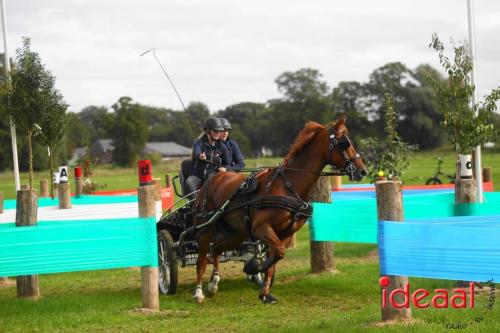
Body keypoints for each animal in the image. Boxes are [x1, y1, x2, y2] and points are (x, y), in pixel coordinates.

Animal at [189, 119, 366, 304]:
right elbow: (278, 253)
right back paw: (198, 292)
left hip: (236, 233)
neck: (288, 186)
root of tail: (212, 178)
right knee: (202, 259)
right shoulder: (261, 228)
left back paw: (214, 283)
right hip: (206, 228)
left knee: (216, 249)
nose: (362, 170)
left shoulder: (285, 233)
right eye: (344, 143)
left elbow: (276, 258)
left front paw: (265, 293)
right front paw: (253, 267)